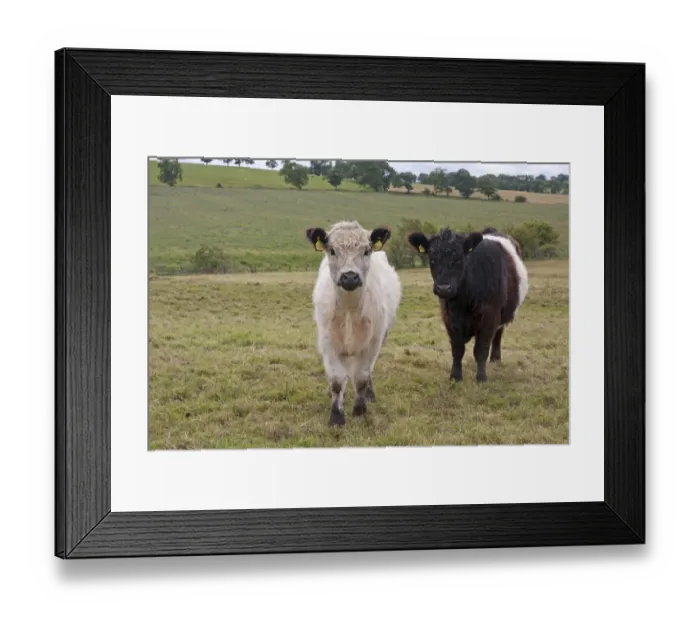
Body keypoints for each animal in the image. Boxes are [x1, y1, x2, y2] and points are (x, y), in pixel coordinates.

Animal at [305, 220, 402, 427]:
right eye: (332, 250)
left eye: (366, 250)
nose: (350, 277)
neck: (349, 310)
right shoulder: (328, 343)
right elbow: (336, 381)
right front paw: (336, 415)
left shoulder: (372, 344)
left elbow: (362, 378)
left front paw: (360, 409)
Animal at [407, 226, 528, 383]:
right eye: (432, 259)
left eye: (459, 259)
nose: (444, 288)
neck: (464, 300)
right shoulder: (449, 317)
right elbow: (457, 350)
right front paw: (455, 376)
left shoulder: (490, 316)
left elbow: (481, 349)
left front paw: (481, 377)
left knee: (498, 334)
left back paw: (495, 359)